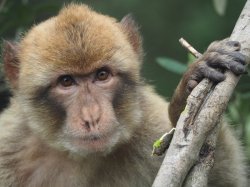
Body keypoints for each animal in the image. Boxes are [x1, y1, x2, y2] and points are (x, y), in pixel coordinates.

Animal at [0, 3, 246, 187]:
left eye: (102, 75)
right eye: (66, 81)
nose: (92, 117)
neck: (81, 156)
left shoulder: (149, 125)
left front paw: (186, 100)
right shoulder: (8, 149)